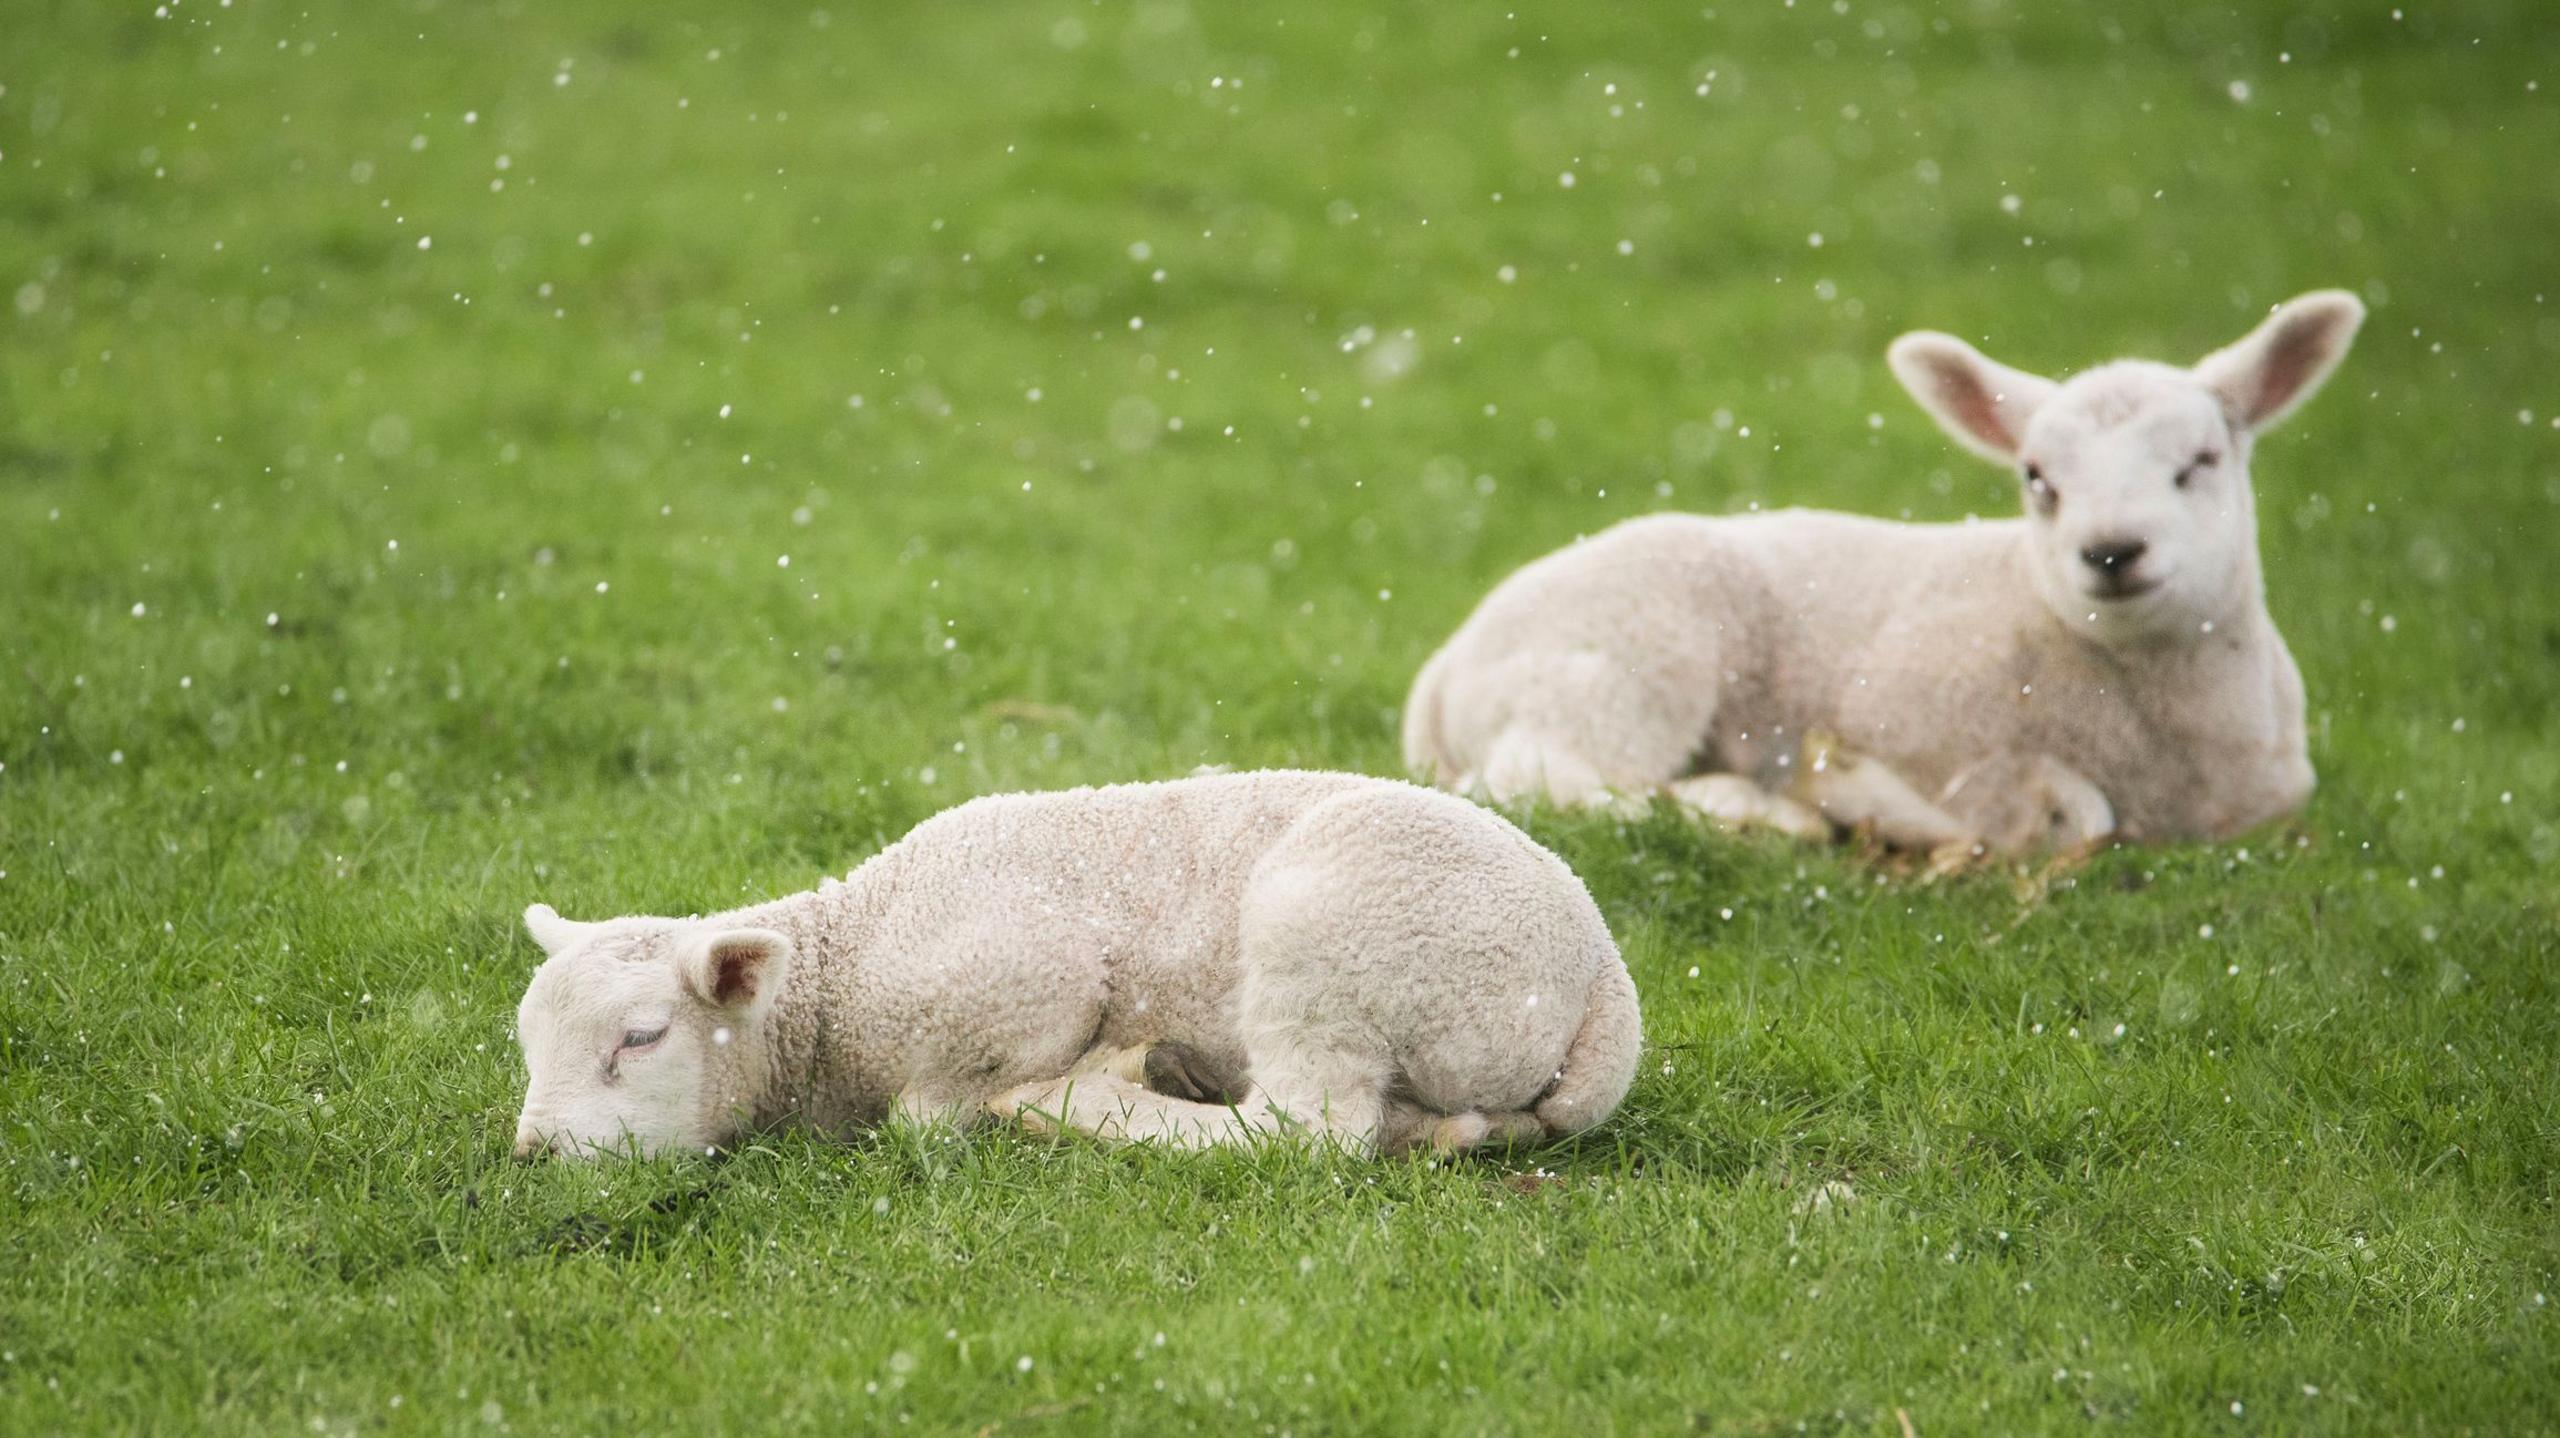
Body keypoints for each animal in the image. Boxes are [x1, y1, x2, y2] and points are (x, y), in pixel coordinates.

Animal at [510, 769, 1640, 1160]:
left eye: (640, 1038)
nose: (533, 1154)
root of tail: (1603, 991)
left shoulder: (1030, 978)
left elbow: (926, 1118)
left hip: (1333, 938)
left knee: (1308, 1132)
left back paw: (1088, 1099)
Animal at [1402, 290, 2366, 854]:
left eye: (2202, 460)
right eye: (2037, 479)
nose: (2111, 551)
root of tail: (1443, 671)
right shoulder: (1917, 720)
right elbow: (2070, 814)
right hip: (1625, 657)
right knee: (1542, 782)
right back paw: (1763, 811)